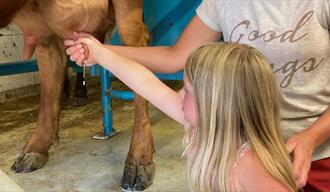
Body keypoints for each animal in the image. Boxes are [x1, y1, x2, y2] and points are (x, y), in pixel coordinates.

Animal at [0, 0, 155, 190]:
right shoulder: (43, 33)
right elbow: (48, 94)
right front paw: (35, 148)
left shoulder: (129, 10)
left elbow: (139, 65)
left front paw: (139, 159)